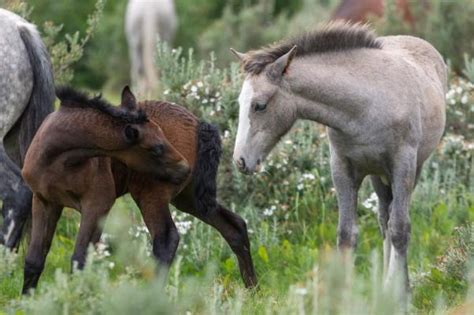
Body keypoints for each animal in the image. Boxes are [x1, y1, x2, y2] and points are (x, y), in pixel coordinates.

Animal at [20, 86, 258, 294]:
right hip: (190, 197)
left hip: (151, 194)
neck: (56, 161)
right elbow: (34, 260)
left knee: (166, 239)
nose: (184, 169)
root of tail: (199, 123)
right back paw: (252, 289)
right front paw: (27, 300)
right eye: (156, 148)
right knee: (234, 226)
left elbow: (80, 259)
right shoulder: (44, 201)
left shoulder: (97, 203)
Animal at [231, 22, 446, 302]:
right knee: (383, 219)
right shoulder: (343, 170)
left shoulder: (403, 167)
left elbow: (400, 229)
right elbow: (347, 235)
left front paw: (397, 293)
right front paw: (345, 296)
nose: (240, 160)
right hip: (378, 176)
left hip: (407, 171)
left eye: (259, 105)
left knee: (393, 223)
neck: (365, 106)